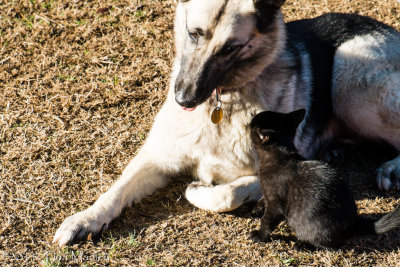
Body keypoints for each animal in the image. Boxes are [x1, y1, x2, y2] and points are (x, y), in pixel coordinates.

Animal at [252, 109, 400, 249]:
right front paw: (257, 208)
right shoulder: (268, 194)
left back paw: (302, 245)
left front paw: (259, 235)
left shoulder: (275, 202)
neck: (281, 155)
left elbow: (267, 220)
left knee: (326, 243)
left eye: (253, 125)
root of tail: (353, 223)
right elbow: (263, 199)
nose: (250, 121)